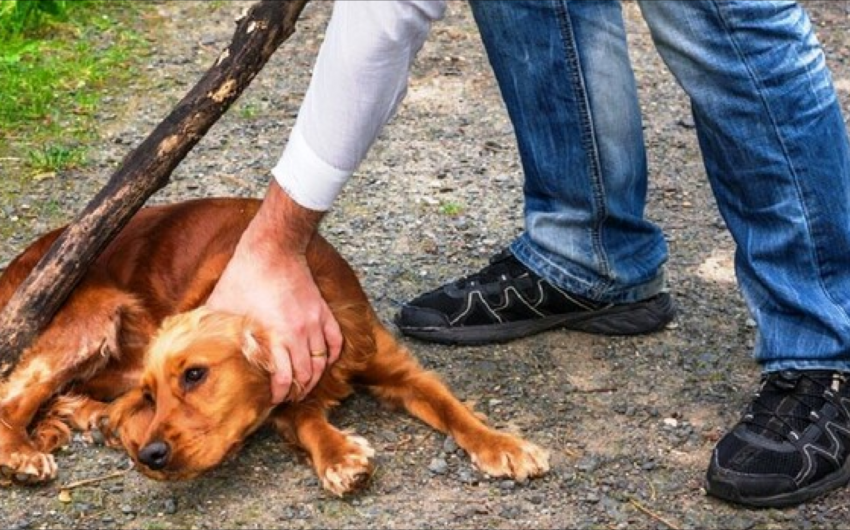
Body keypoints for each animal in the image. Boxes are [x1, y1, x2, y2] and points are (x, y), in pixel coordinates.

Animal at [0, 196, 548, 492]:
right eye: (154, 395)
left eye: (195, 375)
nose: (150, 455)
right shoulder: (286, 393)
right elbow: (306, 419)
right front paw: (340, 456)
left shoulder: (396, 368)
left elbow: (454, 409)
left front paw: (504, 445)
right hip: (93, 315)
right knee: (14, 397)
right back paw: (24, 454)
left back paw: (93, 419)